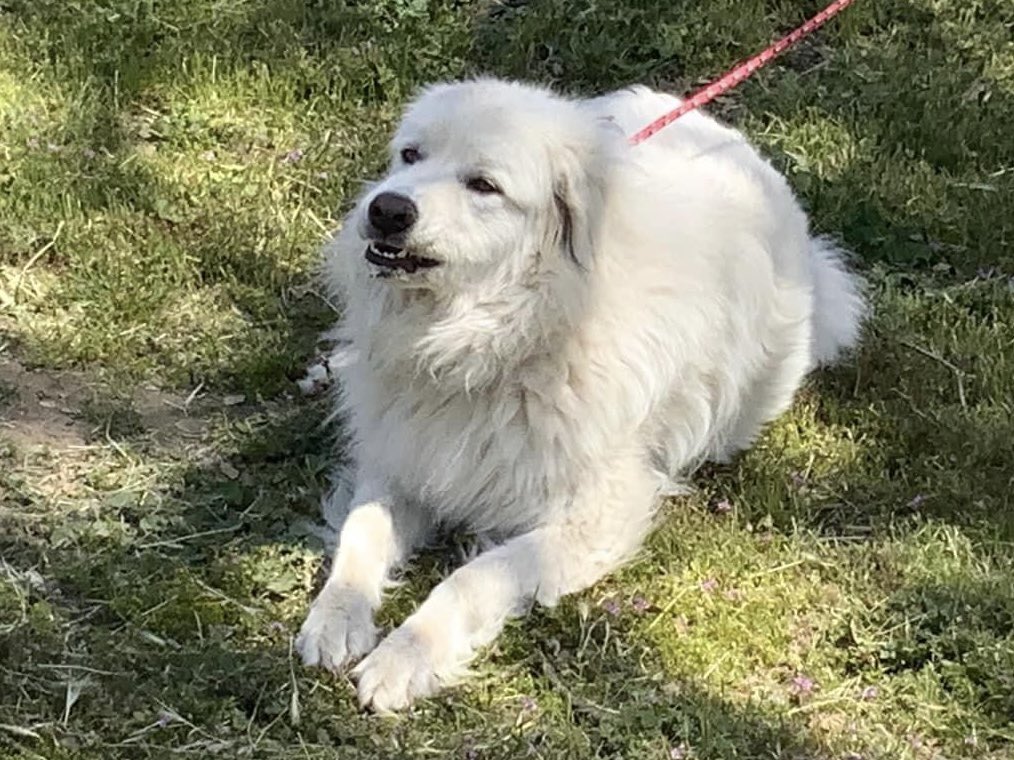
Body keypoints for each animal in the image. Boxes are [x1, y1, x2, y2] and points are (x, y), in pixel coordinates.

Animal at [294, 79, 863, 713]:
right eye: (410, 156)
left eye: (483, 185)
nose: (387, 210)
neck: (500, 342)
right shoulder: (403, 462)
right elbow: (360, 534)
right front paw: (335, 618)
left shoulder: (597, 516)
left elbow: (474, 576)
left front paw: (404, 657)